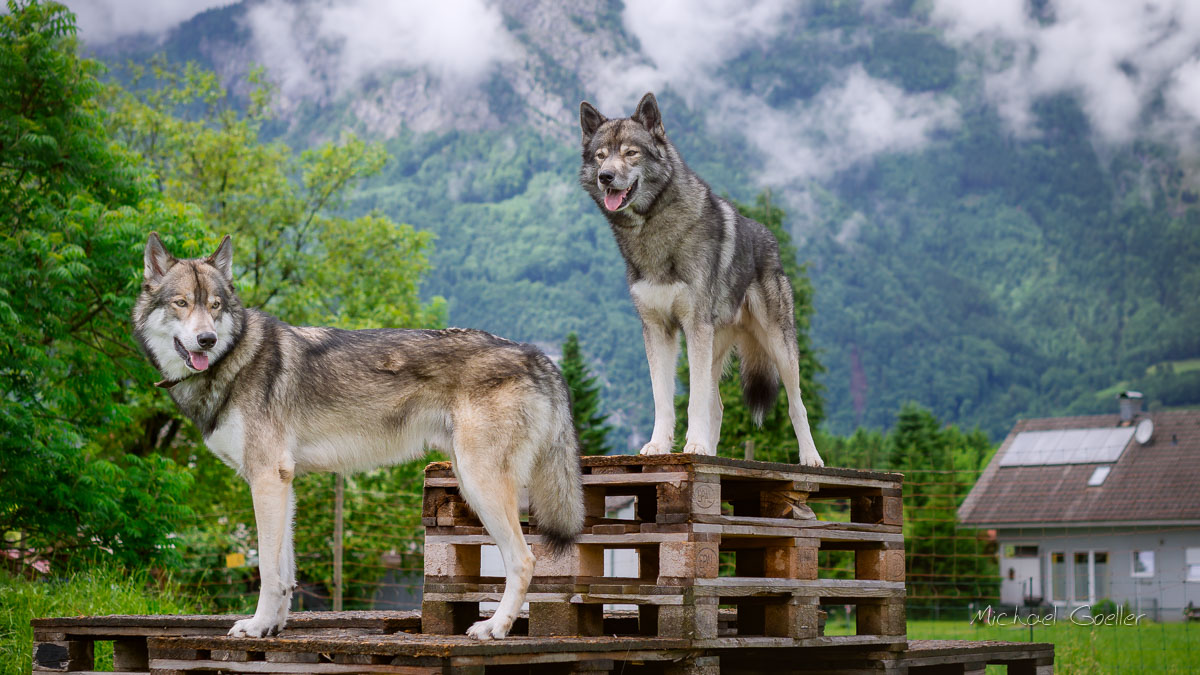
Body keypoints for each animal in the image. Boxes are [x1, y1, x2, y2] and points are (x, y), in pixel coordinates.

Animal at [132, 233, 583, 640]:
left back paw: (495, 628)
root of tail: (536, 354)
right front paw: (274, 627)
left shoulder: (265, 479)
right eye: (181, 303)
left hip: (480, 484)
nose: (206, 339)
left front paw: (257, 627)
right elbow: (286, 571)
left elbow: (267, 569)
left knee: (524, 560)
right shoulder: (282, 482)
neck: (234, 358)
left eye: (215, 306)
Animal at [578, 92, 823, 467]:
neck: (652, 230)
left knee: (796, 405)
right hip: (715, 345)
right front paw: (661, 446)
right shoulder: (657, 330)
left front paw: (694, 446)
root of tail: (770, 237)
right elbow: (663, 399)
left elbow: (693, 400)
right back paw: (712, 452)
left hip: (777, 345)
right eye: (601, 156)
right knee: (717, 405)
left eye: (631, 153)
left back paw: (810, 458)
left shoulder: (694, 327)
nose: (606, 177)